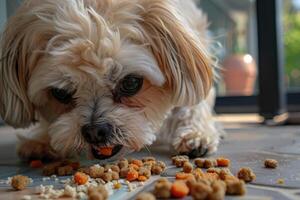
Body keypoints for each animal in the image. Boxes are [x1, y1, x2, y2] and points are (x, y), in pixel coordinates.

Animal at [0, 0, 223, 161]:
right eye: (60, 93)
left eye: (131, 83)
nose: (94, 132)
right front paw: (43, 139)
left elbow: (193, 101)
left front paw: (196, 134)